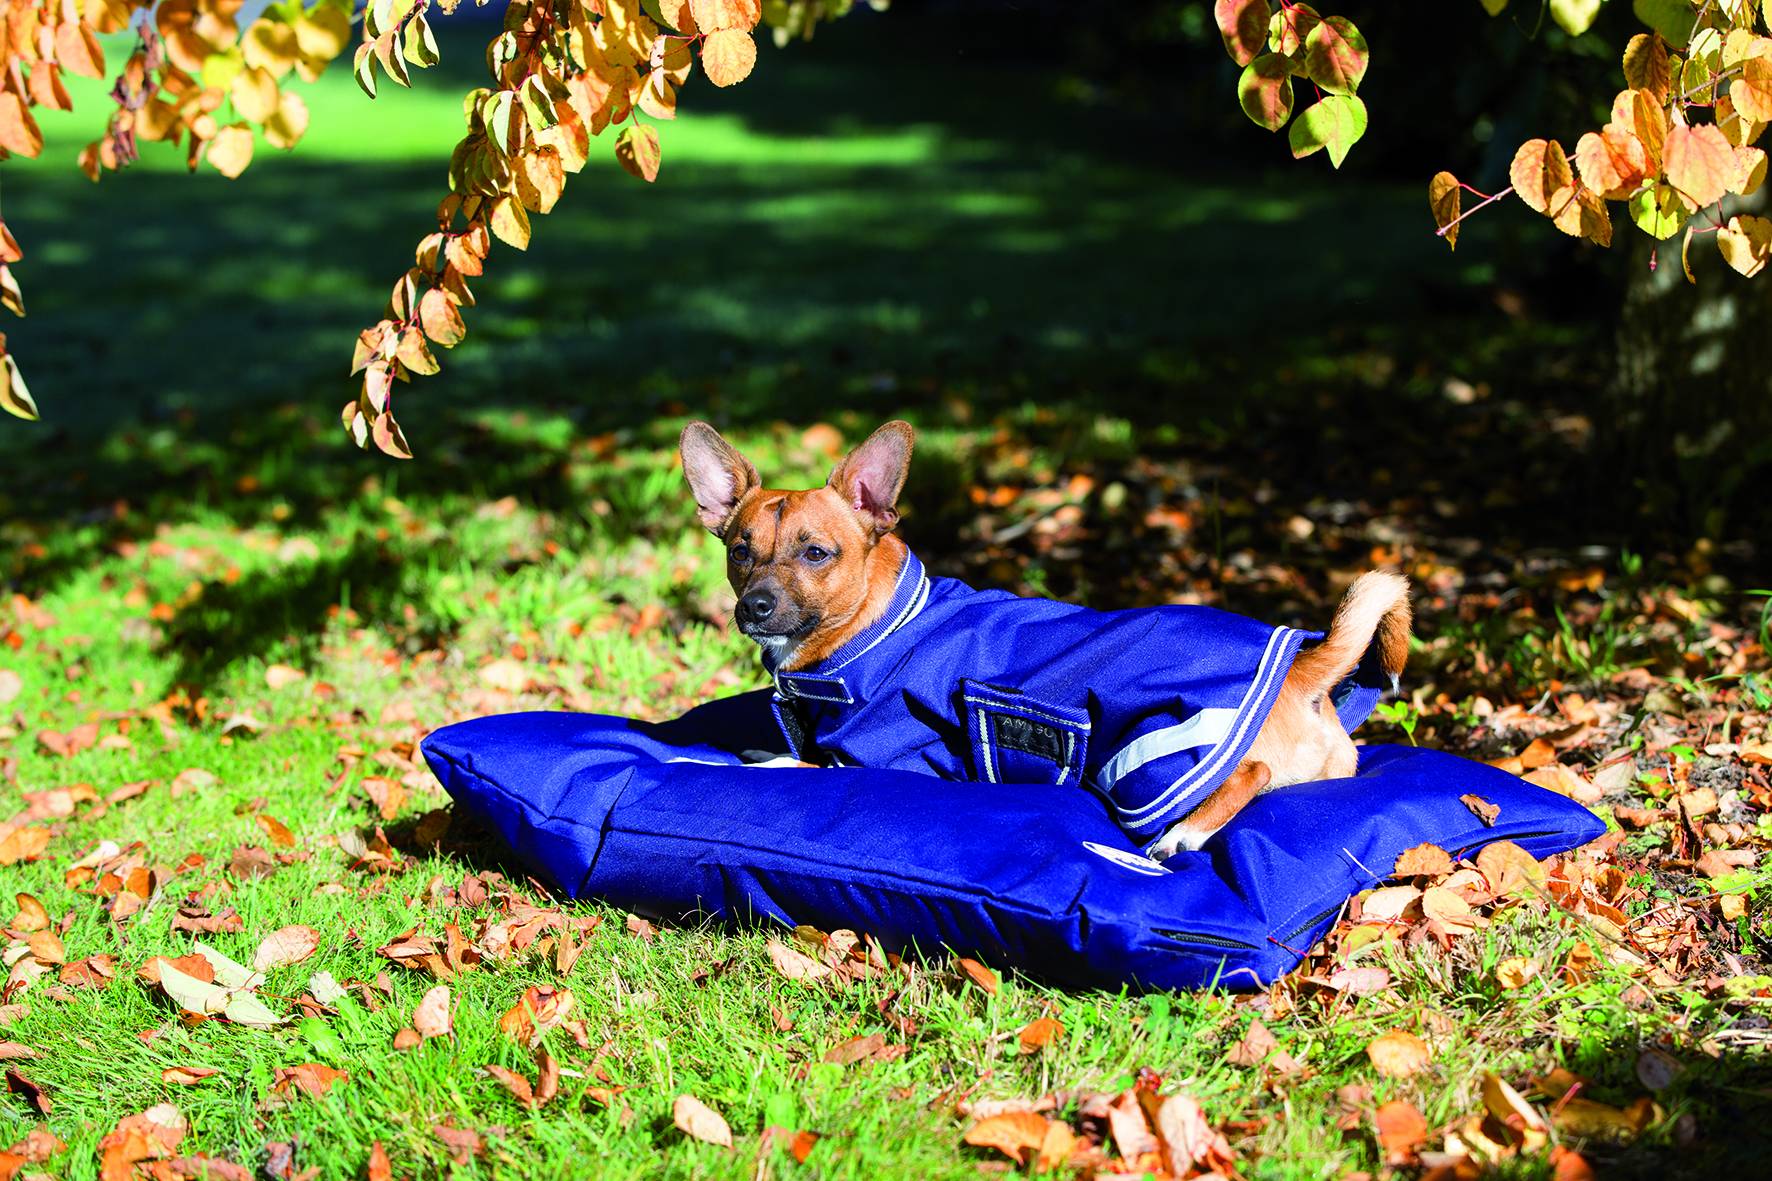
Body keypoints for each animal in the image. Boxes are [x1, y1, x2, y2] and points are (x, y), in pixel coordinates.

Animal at [676, 418, 1410, 851]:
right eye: (740, 551)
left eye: (816, 554)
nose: (754, 608)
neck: (871, 628)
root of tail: (1302, 671)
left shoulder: (883, 763)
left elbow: (798, 766)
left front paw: (734, 763)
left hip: (1149, 751)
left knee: (1246, 771)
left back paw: (1186, 833)